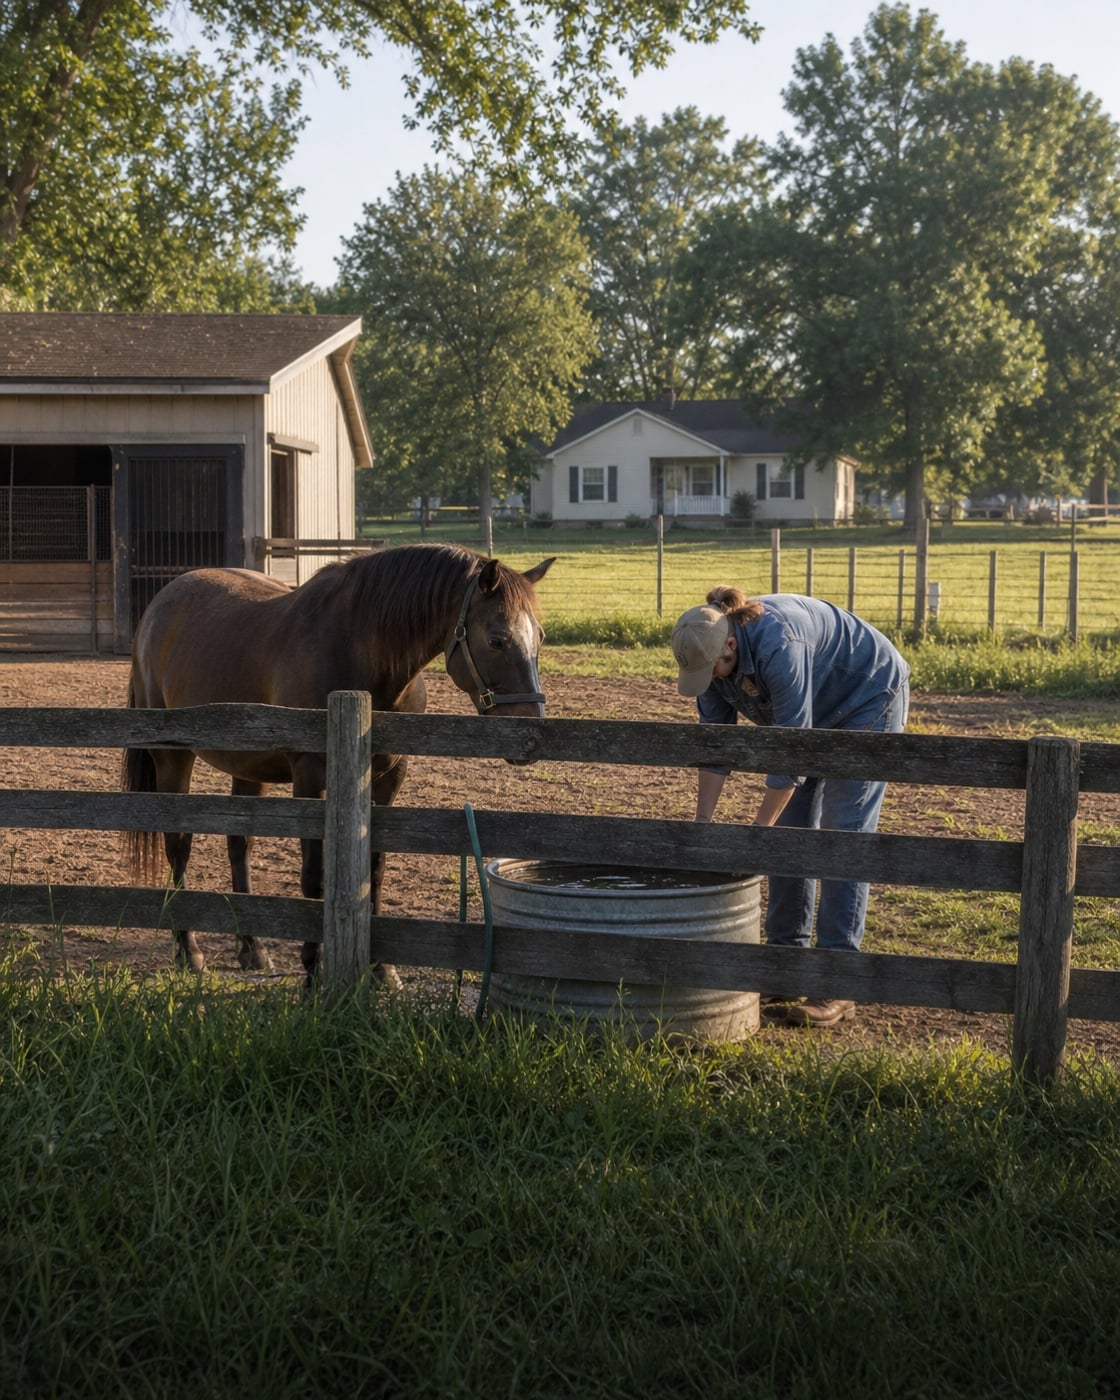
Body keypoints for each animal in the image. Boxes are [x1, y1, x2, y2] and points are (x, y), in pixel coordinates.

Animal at [122, 542, 555, 981]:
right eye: (497, 640)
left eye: (539, 636)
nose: (530, 726)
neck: (360, 650)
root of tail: (160, 604)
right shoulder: (310, 777)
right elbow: (314, 874)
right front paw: (313, 969)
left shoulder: (387, 777)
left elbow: (374, 871)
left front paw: (382, 969)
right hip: (172, 759)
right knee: (178, 845)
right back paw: (188, 950)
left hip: (248, 767)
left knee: (239, 846)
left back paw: (253, 949)